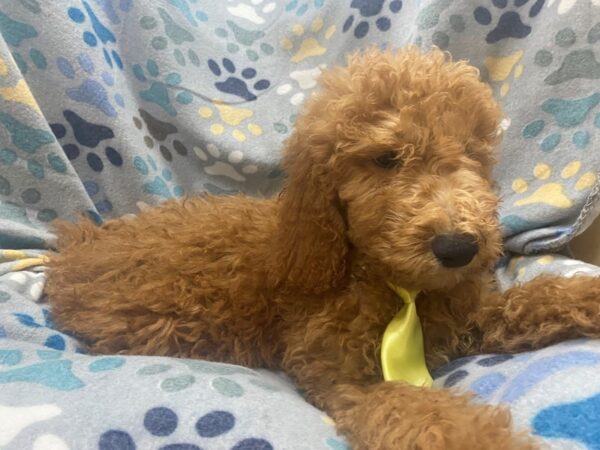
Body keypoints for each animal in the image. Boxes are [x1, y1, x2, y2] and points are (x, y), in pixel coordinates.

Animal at [44, 47, 600, 448]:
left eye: (471, 155)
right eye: (385, 158)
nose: (459, 248)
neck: (389, 283)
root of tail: (81, 243)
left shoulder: (463, 317)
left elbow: (530, 300)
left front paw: (587, 297)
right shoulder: (343, 377)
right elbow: (422, 413)